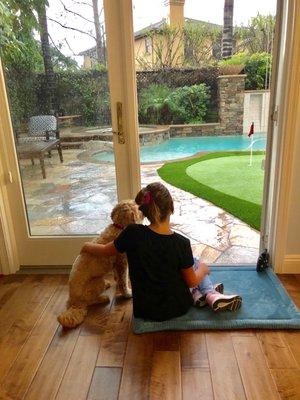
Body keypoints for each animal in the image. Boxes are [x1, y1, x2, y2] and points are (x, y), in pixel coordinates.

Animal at [58, 200, 144, 328]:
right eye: (138, 208)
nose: (144, 211)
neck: (119, 227)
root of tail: (73, 302)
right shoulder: (122, 263)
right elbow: (123, 281)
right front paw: (127, 293)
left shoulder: (116, 265)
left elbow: (118, 278)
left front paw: (117, 282)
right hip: (97, 282)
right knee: (90, 301)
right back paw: (103, 298)